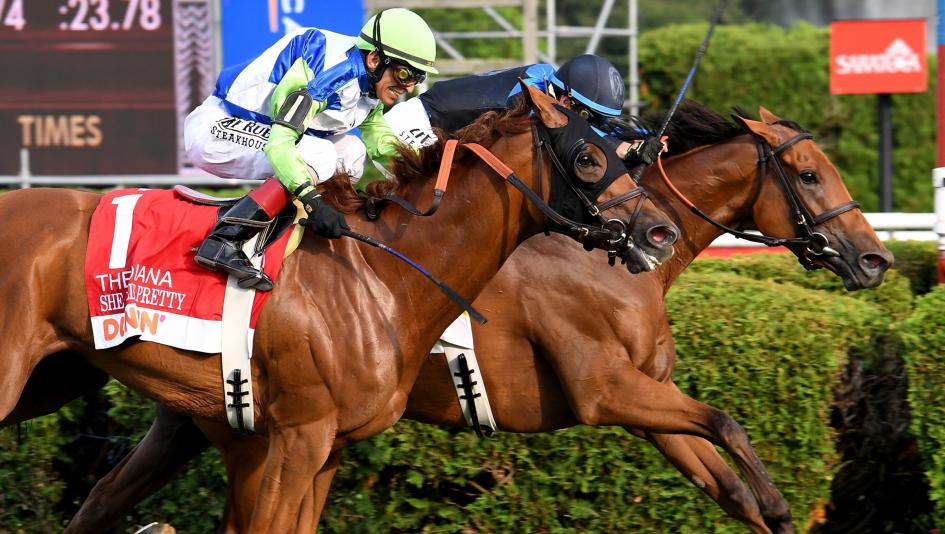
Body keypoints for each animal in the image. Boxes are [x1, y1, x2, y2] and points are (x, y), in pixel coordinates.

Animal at [0, 83, 680, 532]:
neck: (382, 275)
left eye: (621, 153)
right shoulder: (299, 437)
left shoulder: (328, 449)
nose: (660, 232)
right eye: (589, 158)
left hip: (62, 381)